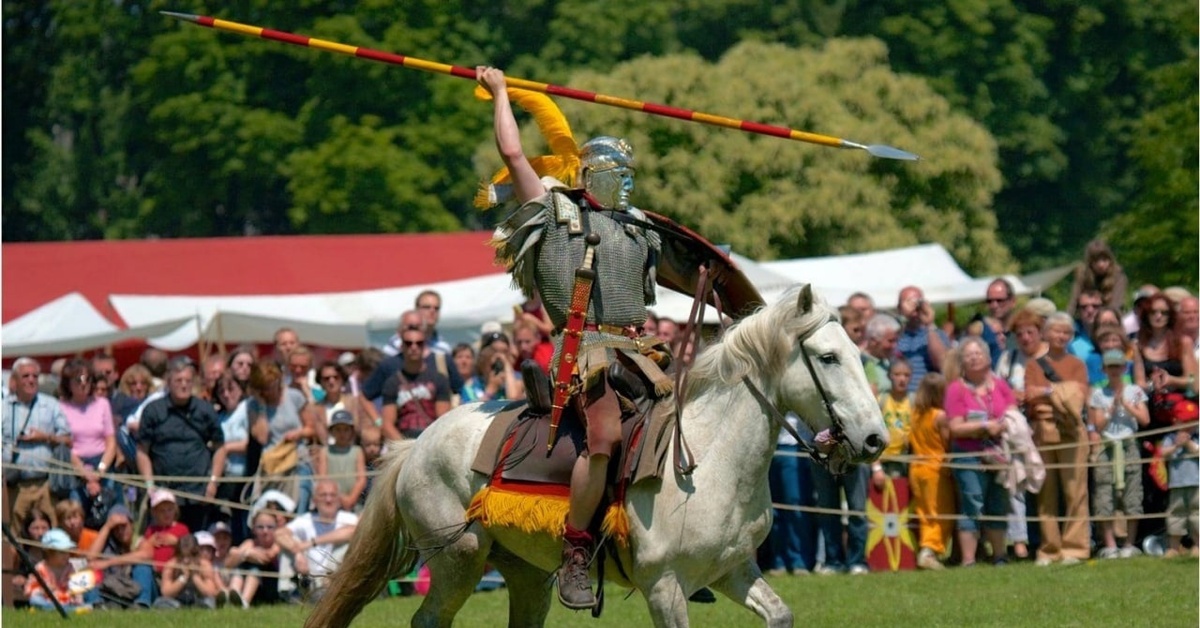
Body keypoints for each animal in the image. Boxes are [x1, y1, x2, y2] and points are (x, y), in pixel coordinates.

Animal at [307, 285, 892, 628]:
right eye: (828, 357)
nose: (874, 440)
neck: (708, 461)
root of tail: (418, 443)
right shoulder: (665, 588)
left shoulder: (734, 570)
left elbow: (780, 615)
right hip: (459, 561)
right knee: (429, 621)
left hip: (523, 573)